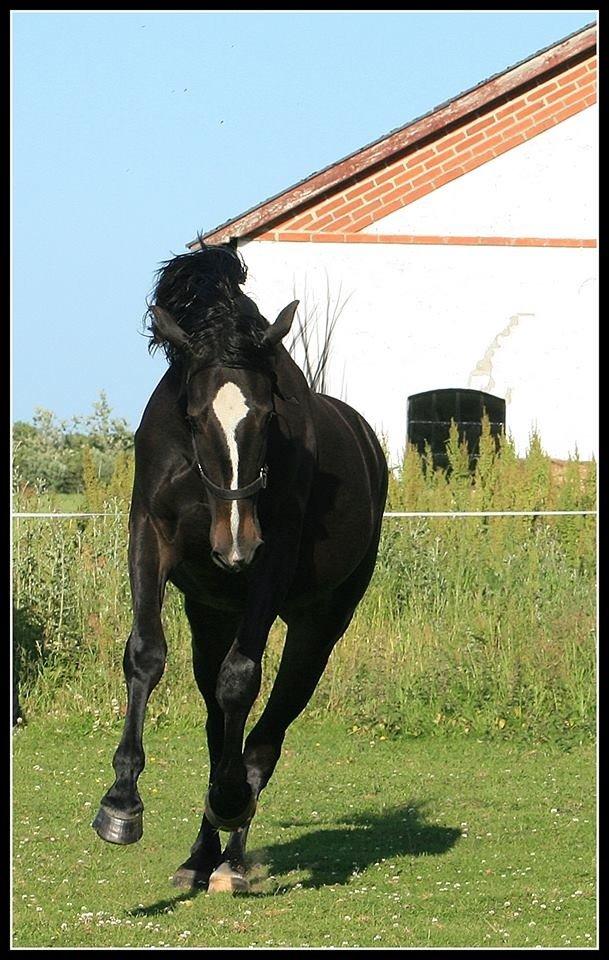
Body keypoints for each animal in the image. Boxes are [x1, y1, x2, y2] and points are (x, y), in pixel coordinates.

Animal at [92, 242, 388, 892]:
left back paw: (231, 847)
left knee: (264, 732)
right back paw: (200, 857)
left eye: (269, 415)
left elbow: (240, 682)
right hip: (211, 613)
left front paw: (227, 802)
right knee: (218, 724)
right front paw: (122, 803)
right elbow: (146, 655)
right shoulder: (148, 537)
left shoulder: (271, 564)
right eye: (195, 415)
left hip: (318, 624)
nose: (234, 547)